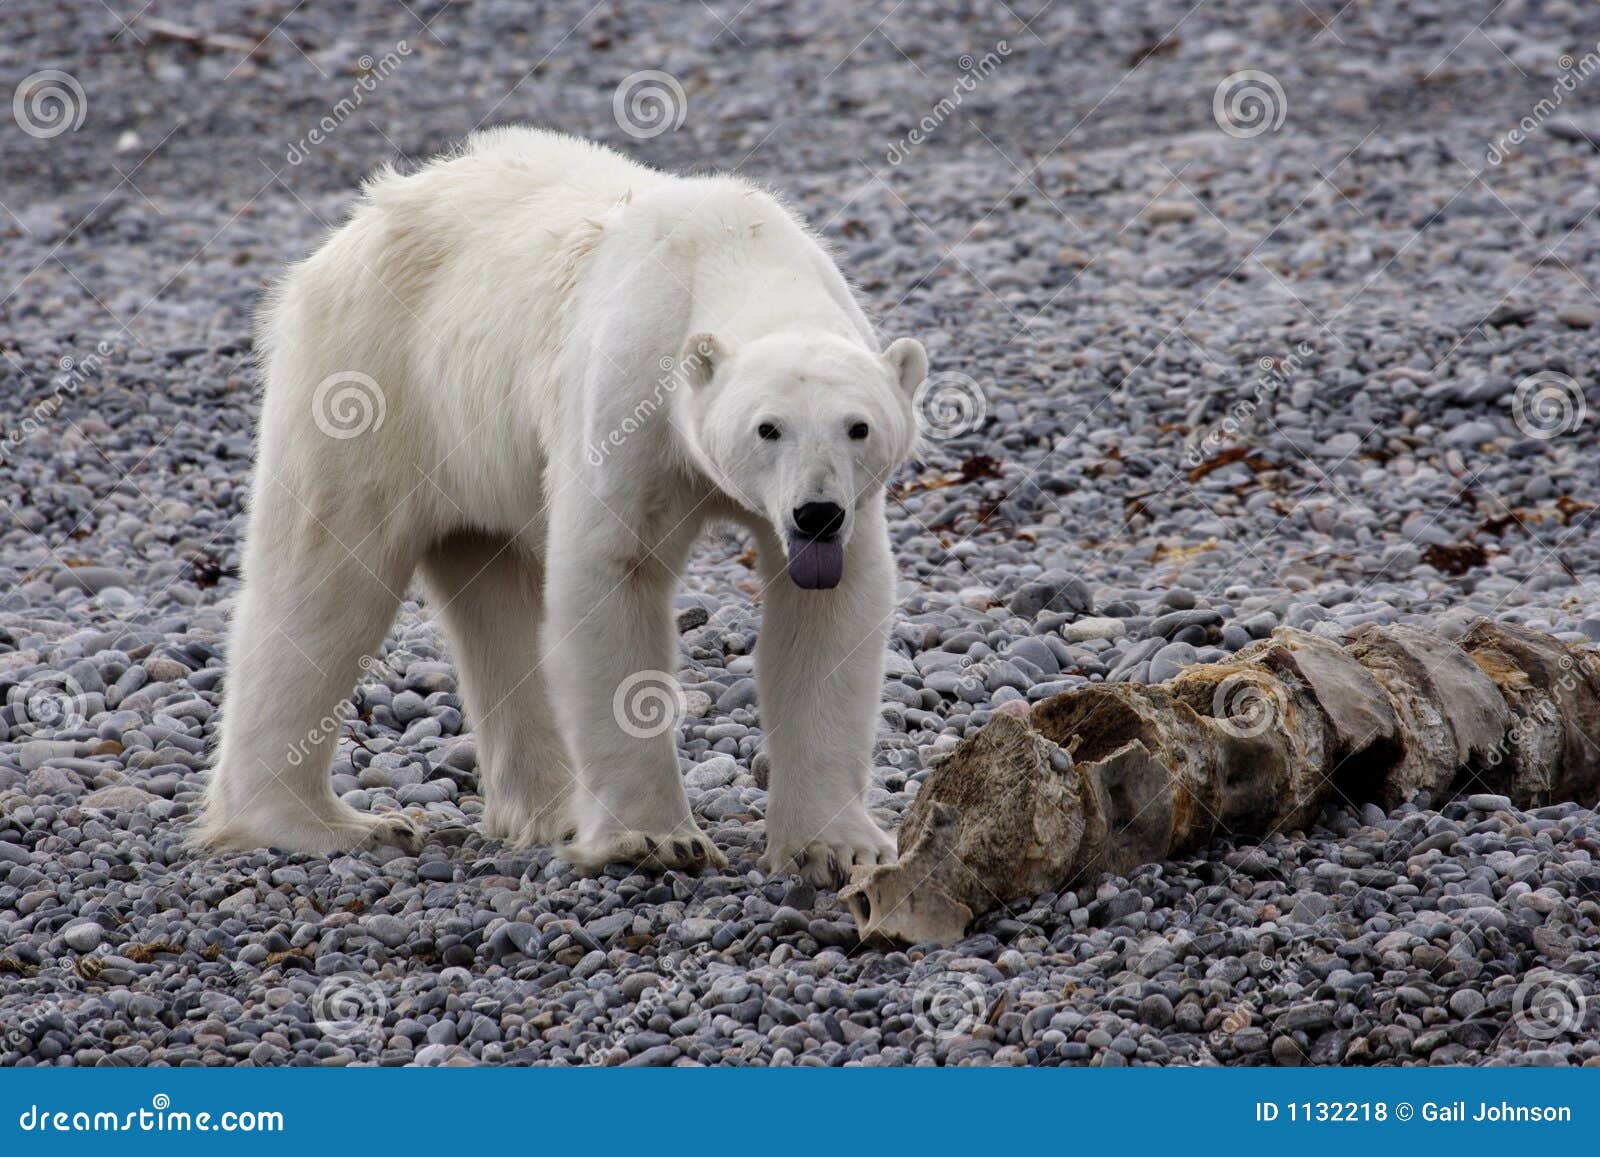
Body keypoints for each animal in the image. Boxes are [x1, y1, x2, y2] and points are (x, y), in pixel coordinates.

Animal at [197, 128, 929, 886]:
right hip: (368, 381)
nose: (816, 514)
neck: (730, 252)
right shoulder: (630, 400)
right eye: (768, 428)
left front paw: (838, 847)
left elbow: (829, 612)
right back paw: (328, 823)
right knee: (324, 584)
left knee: (492, 591)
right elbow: (612, 573)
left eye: (858, 427)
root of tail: (353, 228)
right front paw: (656, 839)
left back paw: (551, 812)